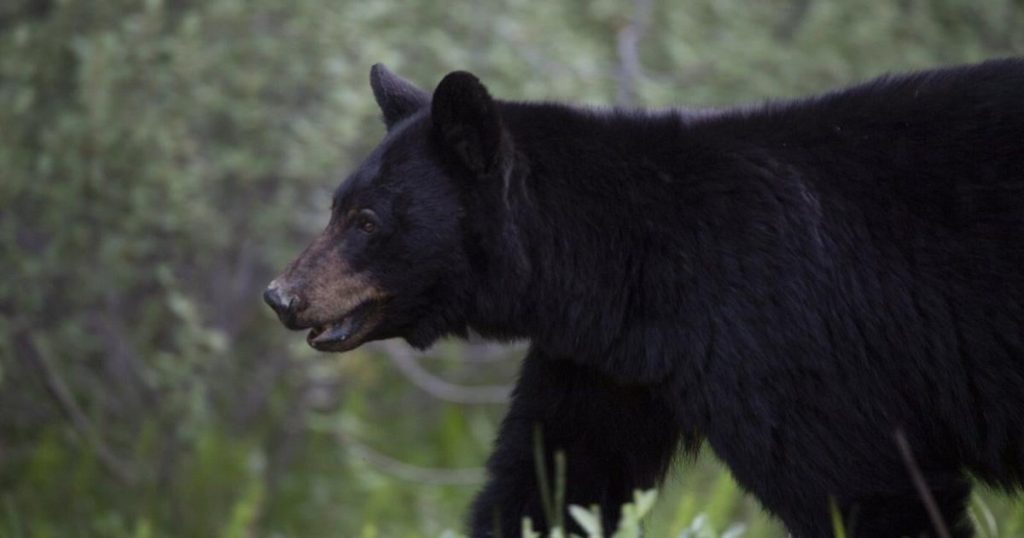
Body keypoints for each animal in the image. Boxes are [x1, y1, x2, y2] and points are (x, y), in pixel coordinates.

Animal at [263, 59, 1024, 537]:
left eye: (367, 221)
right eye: (336, 206)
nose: (281, 295)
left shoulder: (783, 336)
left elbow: (860, 483)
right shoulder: (609, 366)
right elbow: (554, 480)